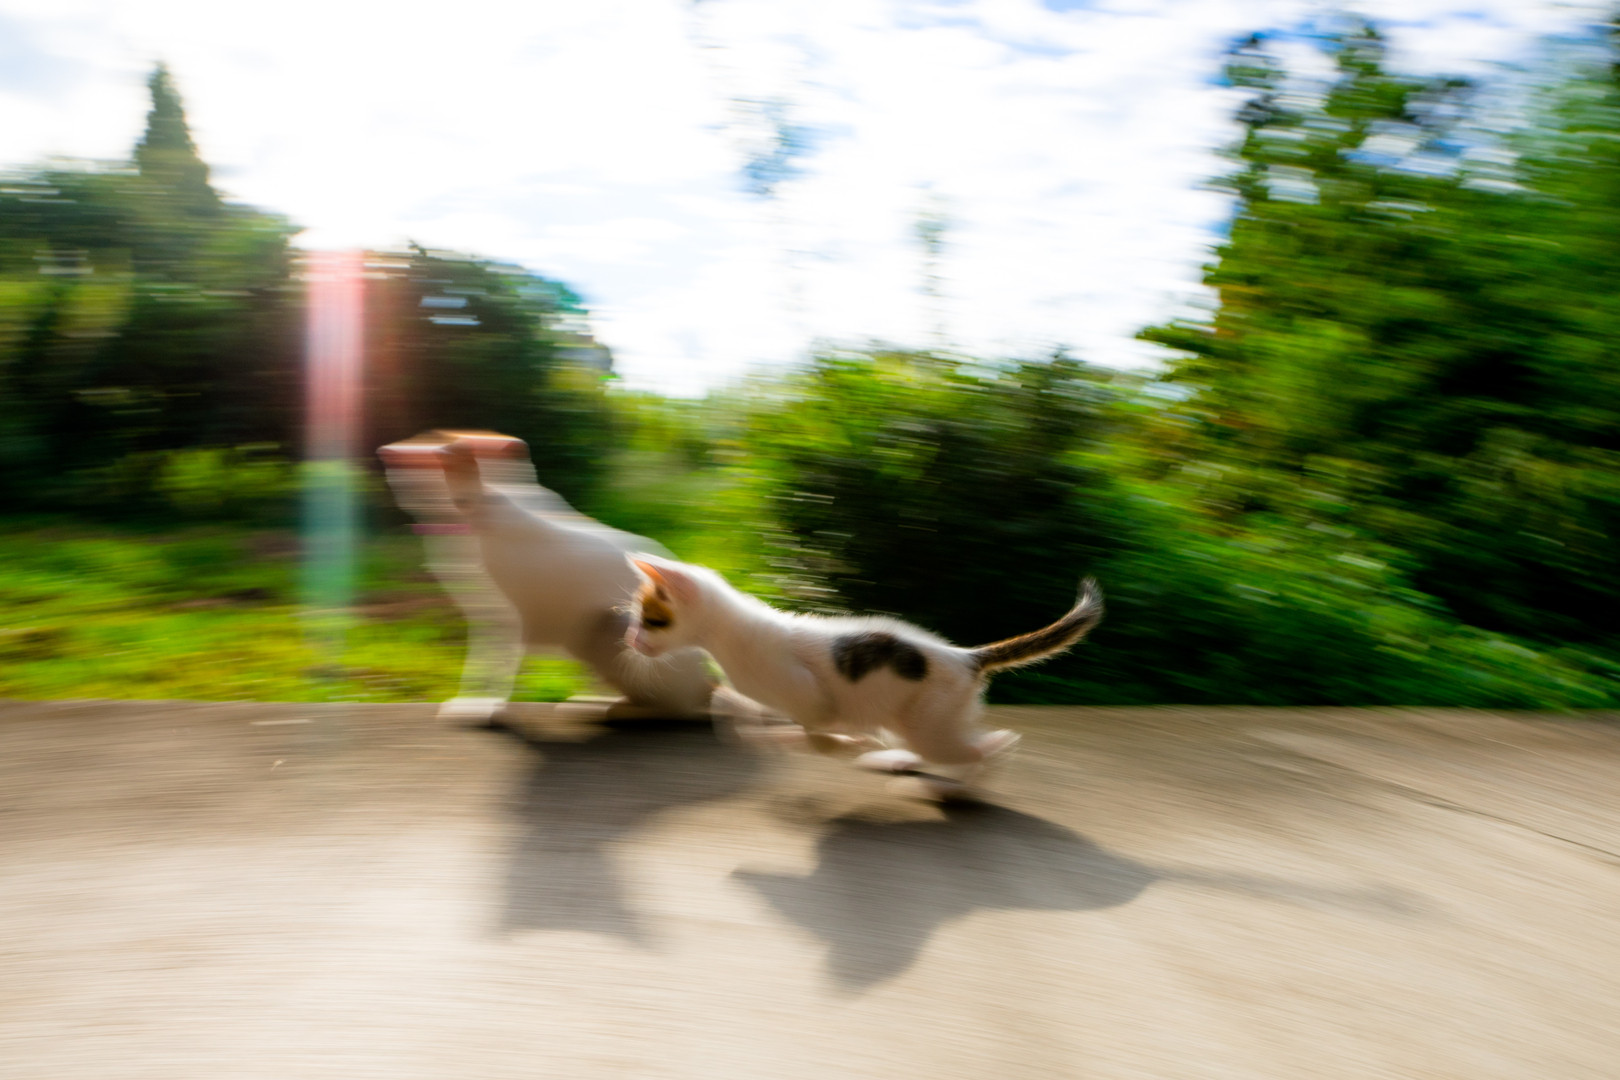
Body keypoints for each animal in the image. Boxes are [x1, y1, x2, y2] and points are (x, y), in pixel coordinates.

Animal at [378, 431, 767, 727]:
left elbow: (492, 667)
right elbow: (480, 666)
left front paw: (482, 707)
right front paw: (475, 701)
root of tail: (709, 680)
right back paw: (592, 701)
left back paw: (620, 711)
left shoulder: (506, 620)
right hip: (592, 639)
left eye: (439, 458)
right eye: (413, 470)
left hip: (612, 630)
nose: (392, 452)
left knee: (681, 710)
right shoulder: (484, 617)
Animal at [625, 552, 1103, 796]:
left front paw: (839, 742)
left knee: (992, 745)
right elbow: (730, 703)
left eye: (652, 620)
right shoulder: (761, 693)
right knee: (940, 744)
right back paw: (894, 759)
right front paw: (752, 731)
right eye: (639, 619)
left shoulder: (814, 699)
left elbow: (816, 733)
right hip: (913, 719)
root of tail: (965, 656)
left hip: (930, 722)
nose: (631, 639)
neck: (732, 636)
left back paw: (967, 783)